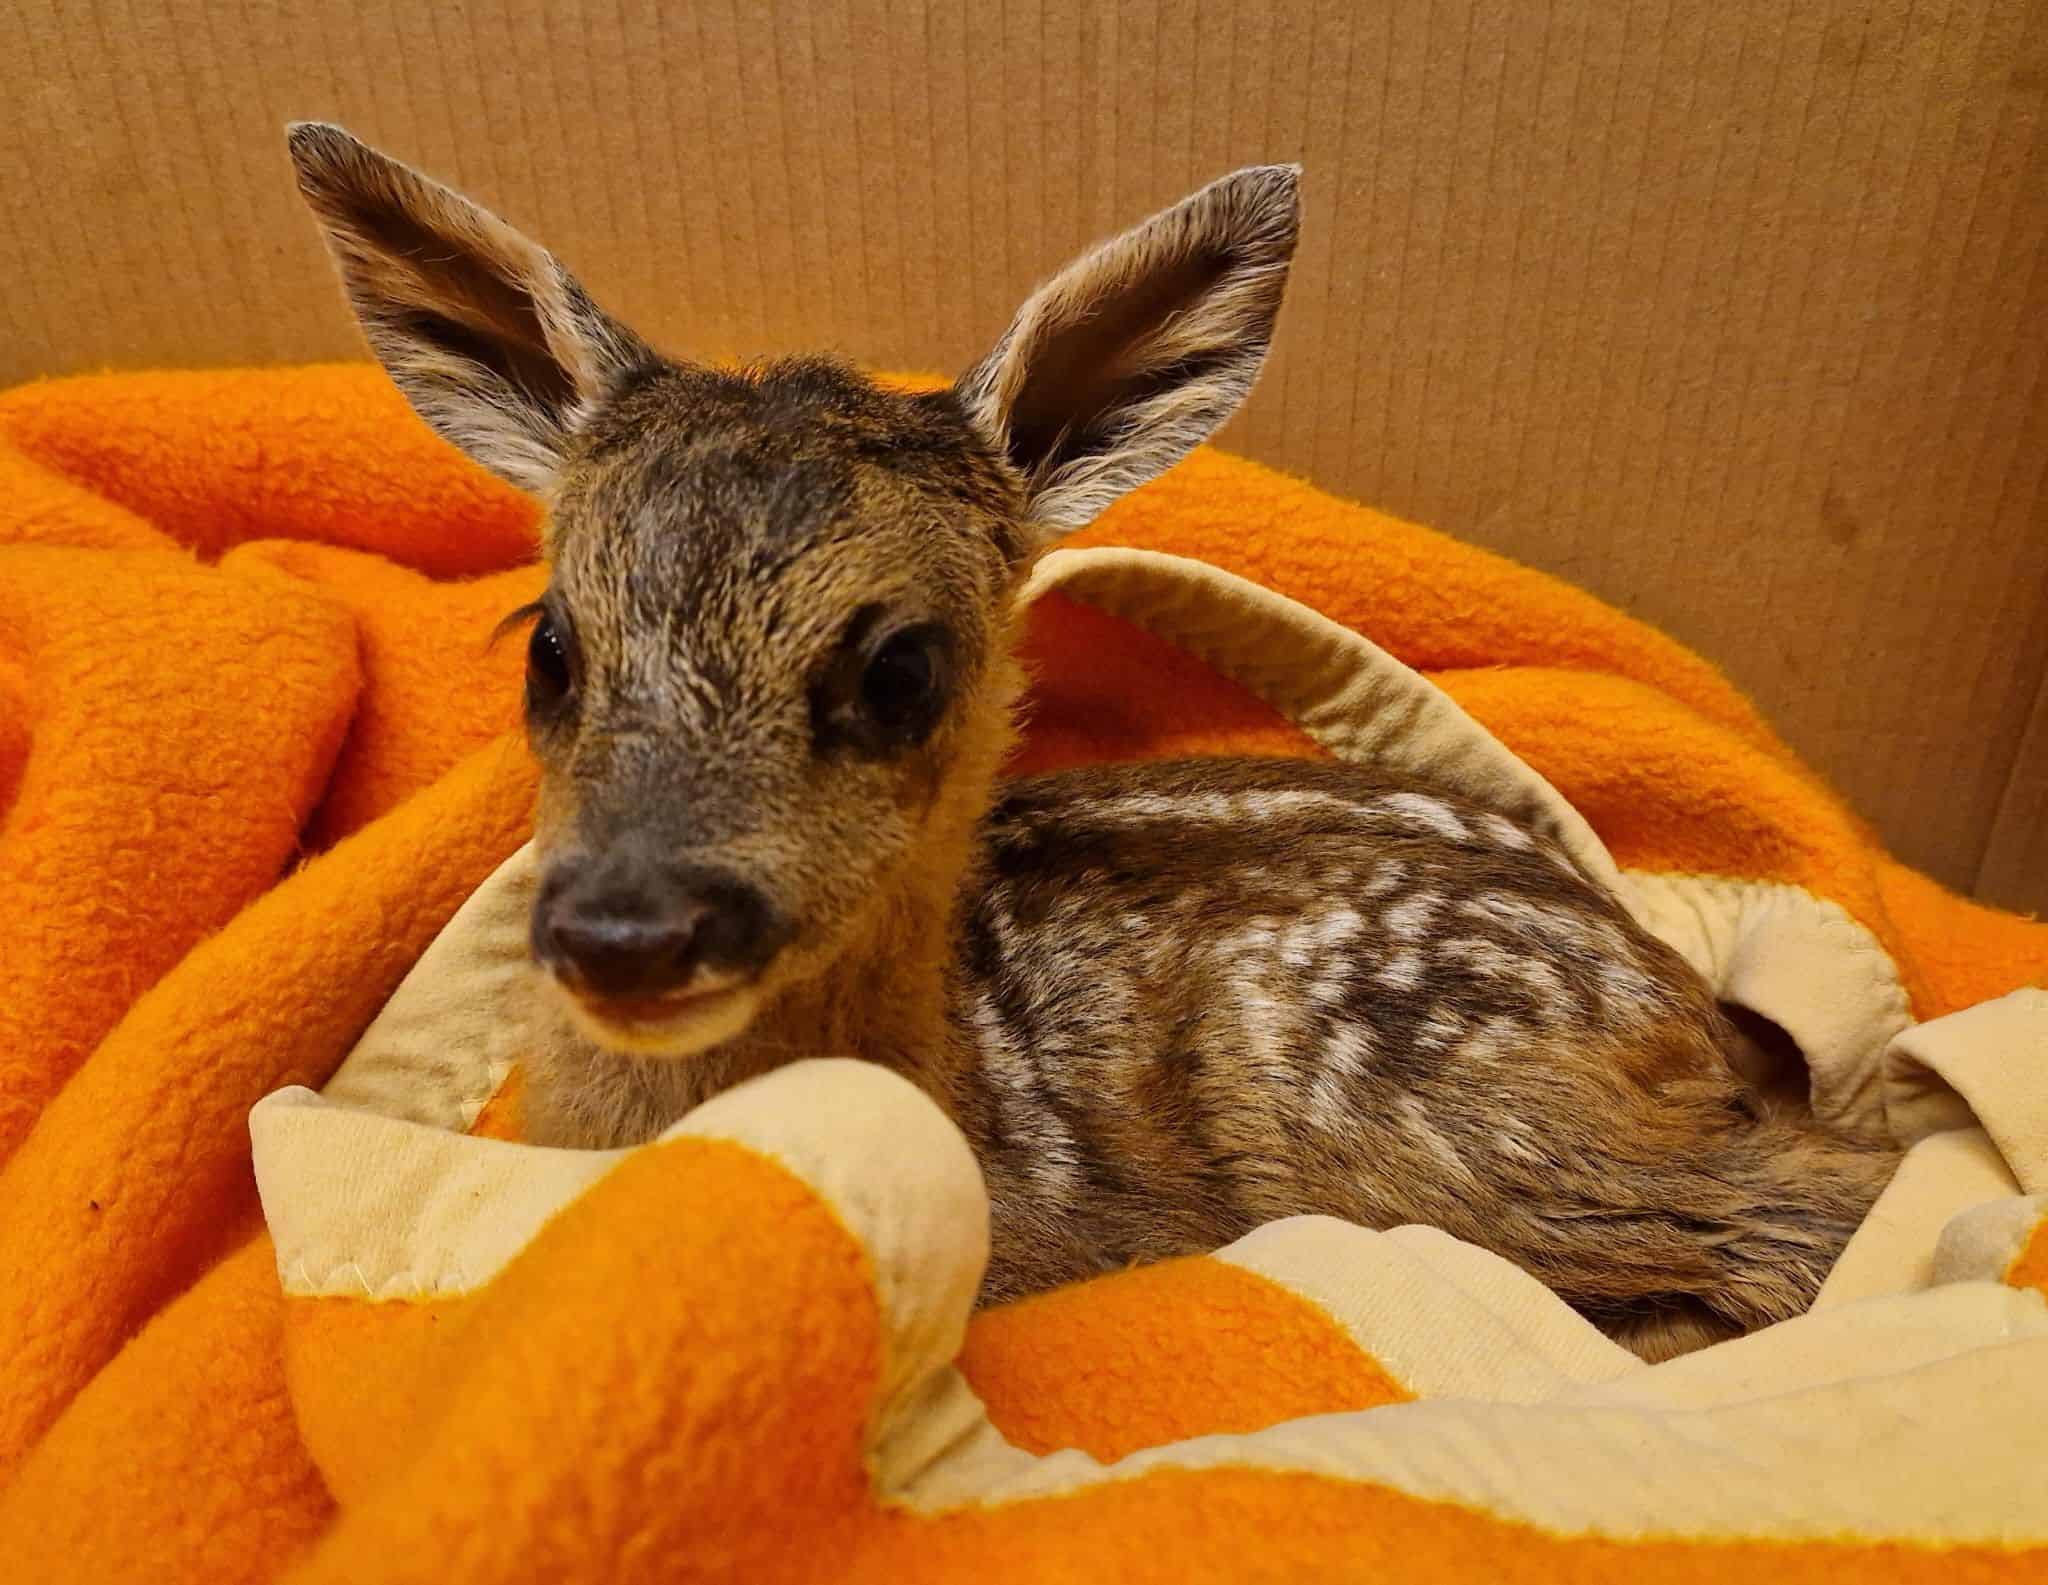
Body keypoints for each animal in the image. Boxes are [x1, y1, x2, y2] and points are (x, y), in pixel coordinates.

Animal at [287, 122, 1899, 1361]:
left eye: (901, 669)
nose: (627, 930)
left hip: (1444, 1122)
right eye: (548, 645)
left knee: (1824, 1212)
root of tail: (1676, 991)